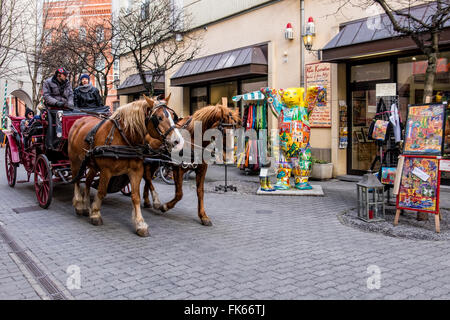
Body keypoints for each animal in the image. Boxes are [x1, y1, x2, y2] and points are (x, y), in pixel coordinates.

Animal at [67, 94, 183, 236]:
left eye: (173, 116)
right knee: (77, 181)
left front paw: (140, 223)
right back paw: (79, 204)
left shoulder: (136, 170)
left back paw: (85, 205)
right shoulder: (106, 171)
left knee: (88, 181)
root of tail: (79, 120)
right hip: (75, 161)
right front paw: (95, 214)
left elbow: (135, 197)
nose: (178, 141)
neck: (123, 138)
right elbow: (101, 191)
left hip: (92, 164)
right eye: (159, 118)